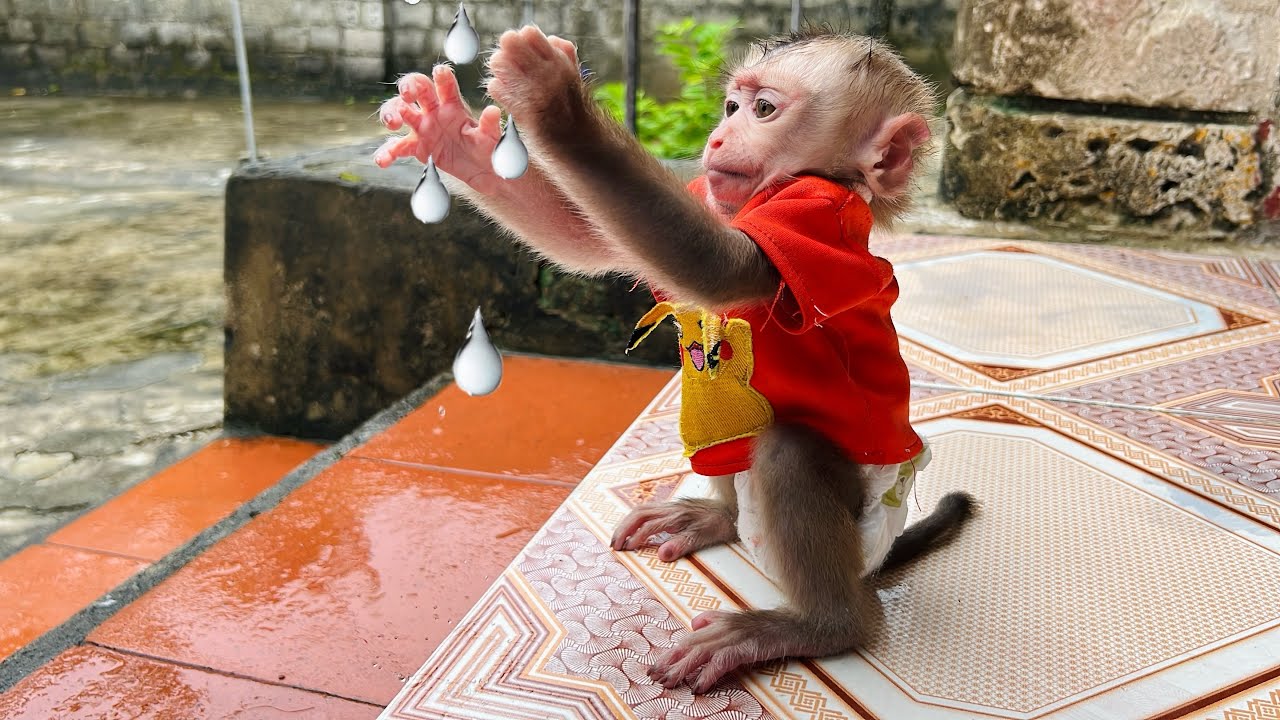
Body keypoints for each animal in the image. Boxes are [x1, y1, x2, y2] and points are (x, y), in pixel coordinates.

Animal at [374, 26, 976, 695]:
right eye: (730, 107)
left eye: (764, 109)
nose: (718, 136)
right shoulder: (709, 195)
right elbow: (590, 236)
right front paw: (456, 138)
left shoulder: (816, 216)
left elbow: (719, 267)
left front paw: (553, 102)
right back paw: (716, 520)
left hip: (871, 509)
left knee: (788, 452)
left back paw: (815, 626)